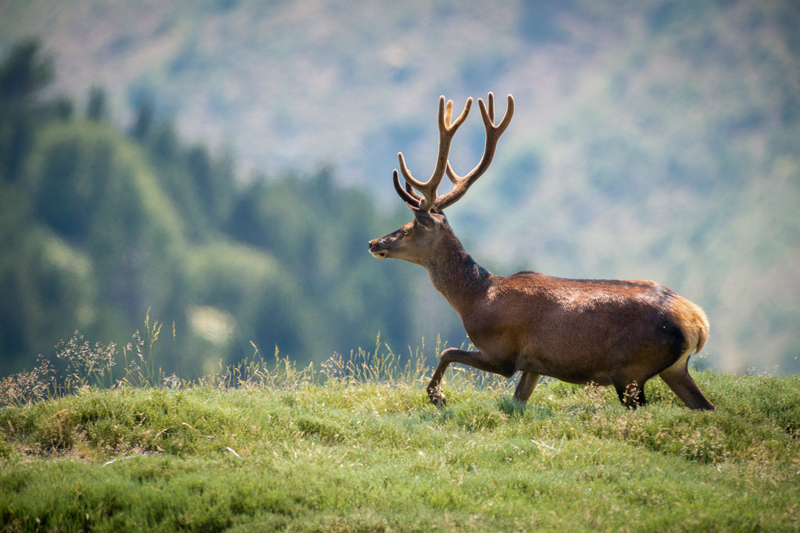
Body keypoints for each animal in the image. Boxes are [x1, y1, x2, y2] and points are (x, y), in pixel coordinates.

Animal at [368, 93, 715, 411]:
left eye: (406, 229)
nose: (374, 243)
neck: (475, 299)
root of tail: (698, 323)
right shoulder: (533, 366)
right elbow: (516, 401)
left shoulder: (502, 353)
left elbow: (446, 351)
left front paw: (436, 396)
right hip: (674, 369)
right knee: (706, 406)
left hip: (630, 369)